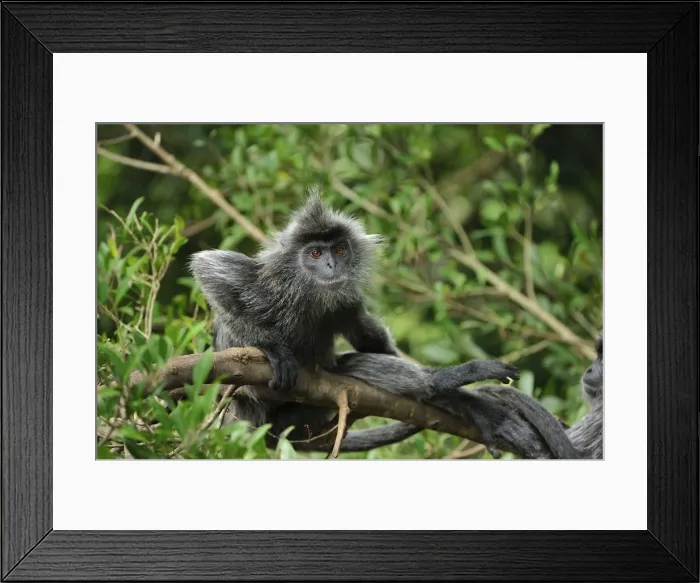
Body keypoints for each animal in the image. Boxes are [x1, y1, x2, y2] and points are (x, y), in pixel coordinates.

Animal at [189, 190, 520, 446]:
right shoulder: (266, 281)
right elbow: (208, 267)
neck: (308, 294)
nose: (332, 265)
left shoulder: (345, 301)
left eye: (338, 250)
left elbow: (366, 336)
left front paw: (461, 399)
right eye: (314, 254)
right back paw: (443, 379)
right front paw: (273, 349)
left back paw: (449, 390)